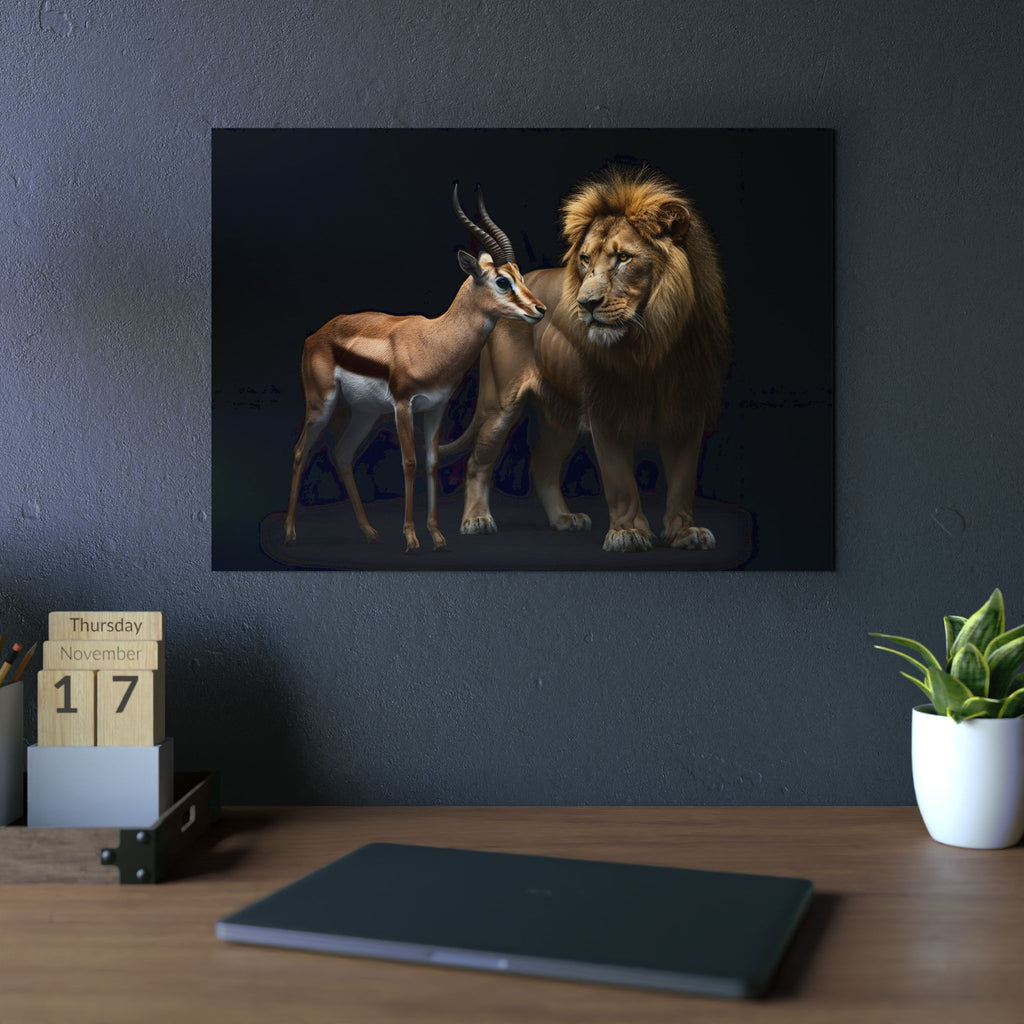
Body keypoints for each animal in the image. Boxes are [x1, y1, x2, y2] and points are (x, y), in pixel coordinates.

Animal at [284, 186, 546, 553]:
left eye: (521, 276)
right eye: (502, 281)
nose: (540, 309)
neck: (433, 341)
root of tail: (315, 335)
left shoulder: (435, 407)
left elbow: (432, 463)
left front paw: (437, 536)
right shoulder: (403, 406)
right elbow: (409, 462)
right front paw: (411, 538)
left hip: (364, 413)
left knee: (343, 454)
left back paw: (369, 532)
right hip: (321, 404)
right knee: (299, 451)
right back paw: (290, 533)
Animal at [441, 165, 731, 553]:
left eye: (623, 258)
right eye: (585, 259)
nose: (585, 303)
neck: (652, 342)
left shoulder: (688, 406)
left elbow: (683, 479)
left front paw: (686, 532)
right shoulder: (604, 406)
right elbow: (619, 479)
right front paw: (627, 533)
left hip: (560, 415)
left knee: (542, 465)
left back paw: (565, 519)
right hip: (500, 403)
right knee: (477, 461)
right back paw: (476, 520)